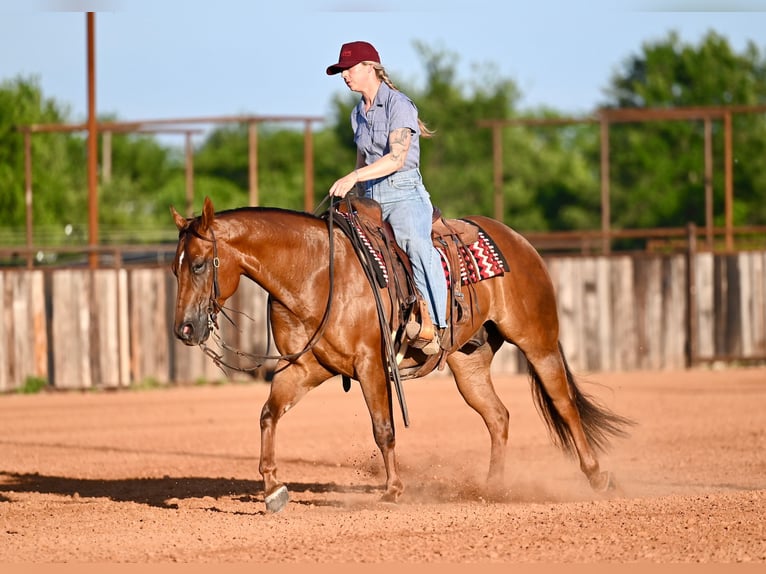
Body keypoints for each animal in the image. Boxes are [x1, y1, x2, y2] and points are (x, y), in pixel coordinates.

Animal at [170, 195, 632, 513]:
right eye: (175, 267)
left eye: (199, 264)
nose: (184, 329)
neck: (317, 272)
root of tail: (518, 242)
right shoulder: (304, 367)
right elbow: (269, 414)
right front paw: (272, 489)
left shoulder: (370, 363)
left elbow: (383, 428)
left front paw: (392, 490)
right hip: (469, 362)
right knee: (498, 416)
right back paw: (494, 488)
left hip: (539, 342)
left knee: (564, 404)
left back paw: (598, 477)